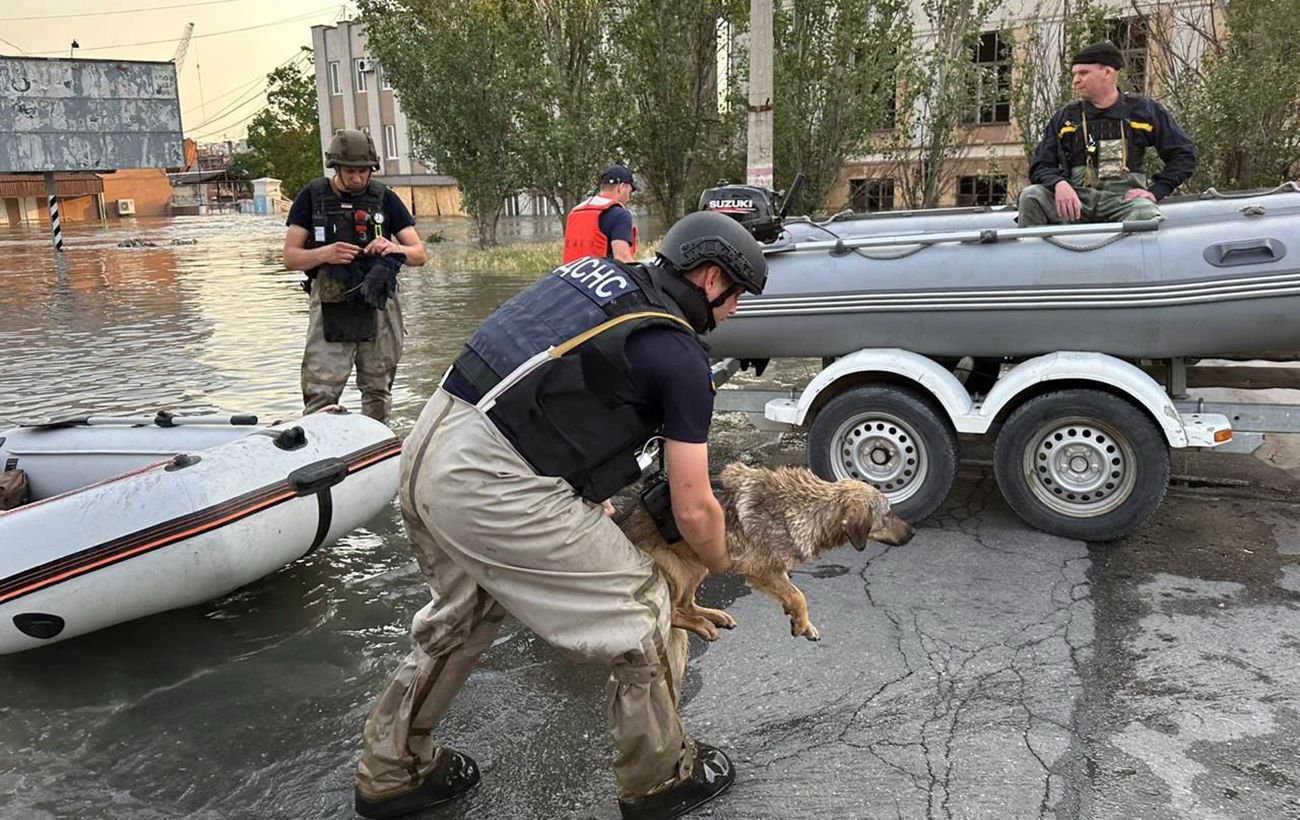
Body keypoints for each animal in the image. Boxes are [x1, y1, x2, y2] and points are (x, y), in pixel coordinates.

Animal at [618, 462, 915, 641]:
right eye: (887, 514)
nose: (913, 533)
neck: (809, 509)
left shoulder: (775, 572)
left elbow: (792, 594)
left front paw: (800, 621)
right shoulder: (761, 569)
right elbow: (798, 596)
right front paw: (802, 624)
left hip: (699, 563)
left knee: (686, 604)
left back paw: (714, 616)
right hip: (679, 570)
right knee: (673, 613)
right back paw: (702, 624)